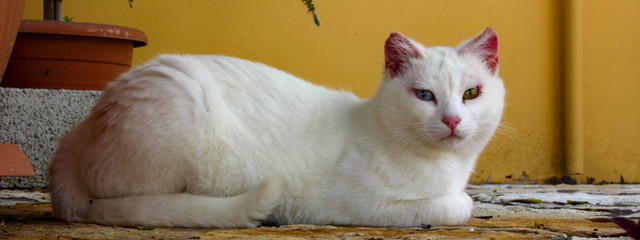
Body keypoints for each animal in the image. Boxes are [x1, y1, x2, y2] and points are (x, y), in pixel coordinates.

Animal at [47, 27, 504, 228]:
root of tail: (74, 136)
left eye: (471, 93)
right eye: (424, 95)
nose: (452, 119)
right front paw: (458, 202)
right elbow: (458, 206)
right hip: (183, 100)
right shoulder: (358, 206)